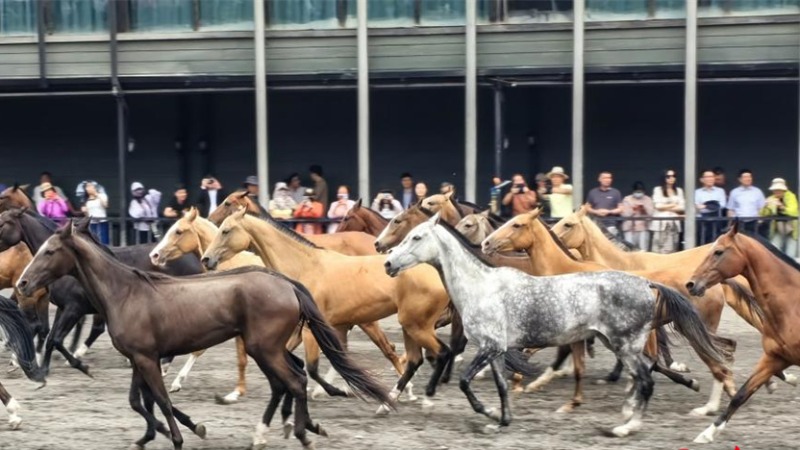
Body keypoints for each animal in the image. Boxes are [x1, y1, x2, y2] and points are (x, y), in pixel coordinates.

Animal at [0, 209, 203, 377]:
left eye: (2, 222)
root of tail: (195, 257)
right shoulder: (63, 308)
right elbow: (51, 337)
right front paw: (44, 368)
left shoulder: (74, 308)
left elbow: (56, 338)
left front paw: (78, 364)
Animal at [201, 207, 519, 414]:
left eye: (226, 230)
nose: (206, 260)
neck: (306, 267)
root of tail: (437, 269)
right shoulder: (329, 327)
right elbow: (314, 359)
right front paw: (231, 396)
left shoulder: (312, 330)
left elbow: (314, 367)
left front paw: (339, 391)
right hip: (409, 325)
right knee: (416, 359)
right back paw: (389, 401)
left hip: (416, 325)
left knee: (440, 353)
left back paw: (425, 395)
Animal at [686, 222, 800, 443]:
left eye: (718, 251)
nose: (691, 284)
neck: (793, 306)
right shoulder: (774, 358)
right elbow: (741, 395)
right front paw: (706, 434)